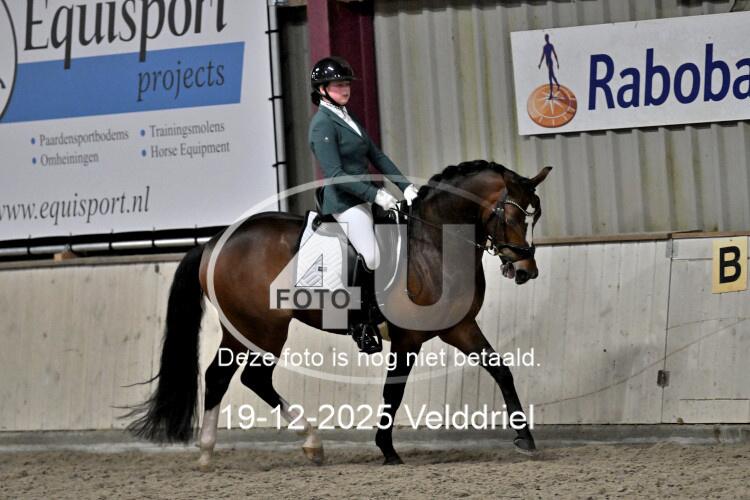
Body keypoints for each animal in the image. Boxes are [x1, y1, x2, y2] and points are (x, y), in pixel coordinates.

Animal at [126, 159, 552, 467]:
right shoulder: (408, 338)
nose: (526, 271)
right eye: (513, 217)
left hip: (241, 329)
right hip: (265, 328)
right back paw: (310, 443)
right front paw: (388, 450)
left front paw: (525, 438)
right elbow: (393, 391)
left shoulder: (459, 327)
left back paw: (207, 452)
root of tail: (214, 242)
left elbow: (501, 369)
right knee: (253, 378)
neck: (435, 244)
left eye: (535, 217)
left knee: (219, 377)